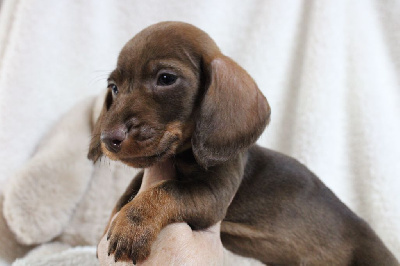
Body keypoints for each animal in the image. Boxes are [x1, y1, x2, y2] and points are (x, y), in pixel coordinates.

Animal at [87, 21, 396, 264]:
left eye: (166, 78)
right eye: (114, 88)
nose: (108, 139)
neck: (184, 155)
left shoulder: (213, 194)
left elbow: (166, 190)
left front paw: (134, 222)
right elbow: (126, 194)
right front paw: (110, 228)